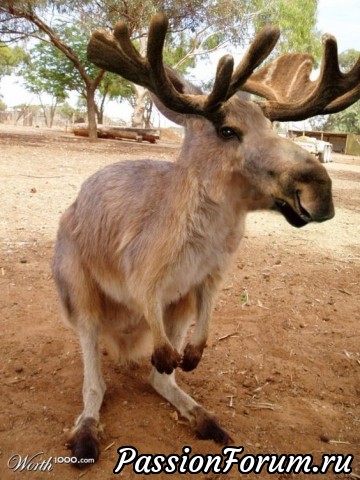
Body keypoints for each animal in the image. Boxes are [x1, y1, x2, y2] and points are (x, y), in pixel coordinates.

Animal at [51, 13, 360, 466]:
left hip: (178, 306)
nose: (321, 190)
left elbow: (208, 311)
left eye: (272, 127)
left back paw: (206, 418)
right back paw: (88, 434)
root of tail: (122, 340)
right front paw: (168, 353)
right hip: (76, 284)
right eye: (228, 131)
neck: (212, 231)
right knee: (96, 381)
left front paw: (193, 356)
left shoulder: (211, 275)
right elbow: (143, 292)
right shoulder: (142, 265)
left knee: (159, 380)